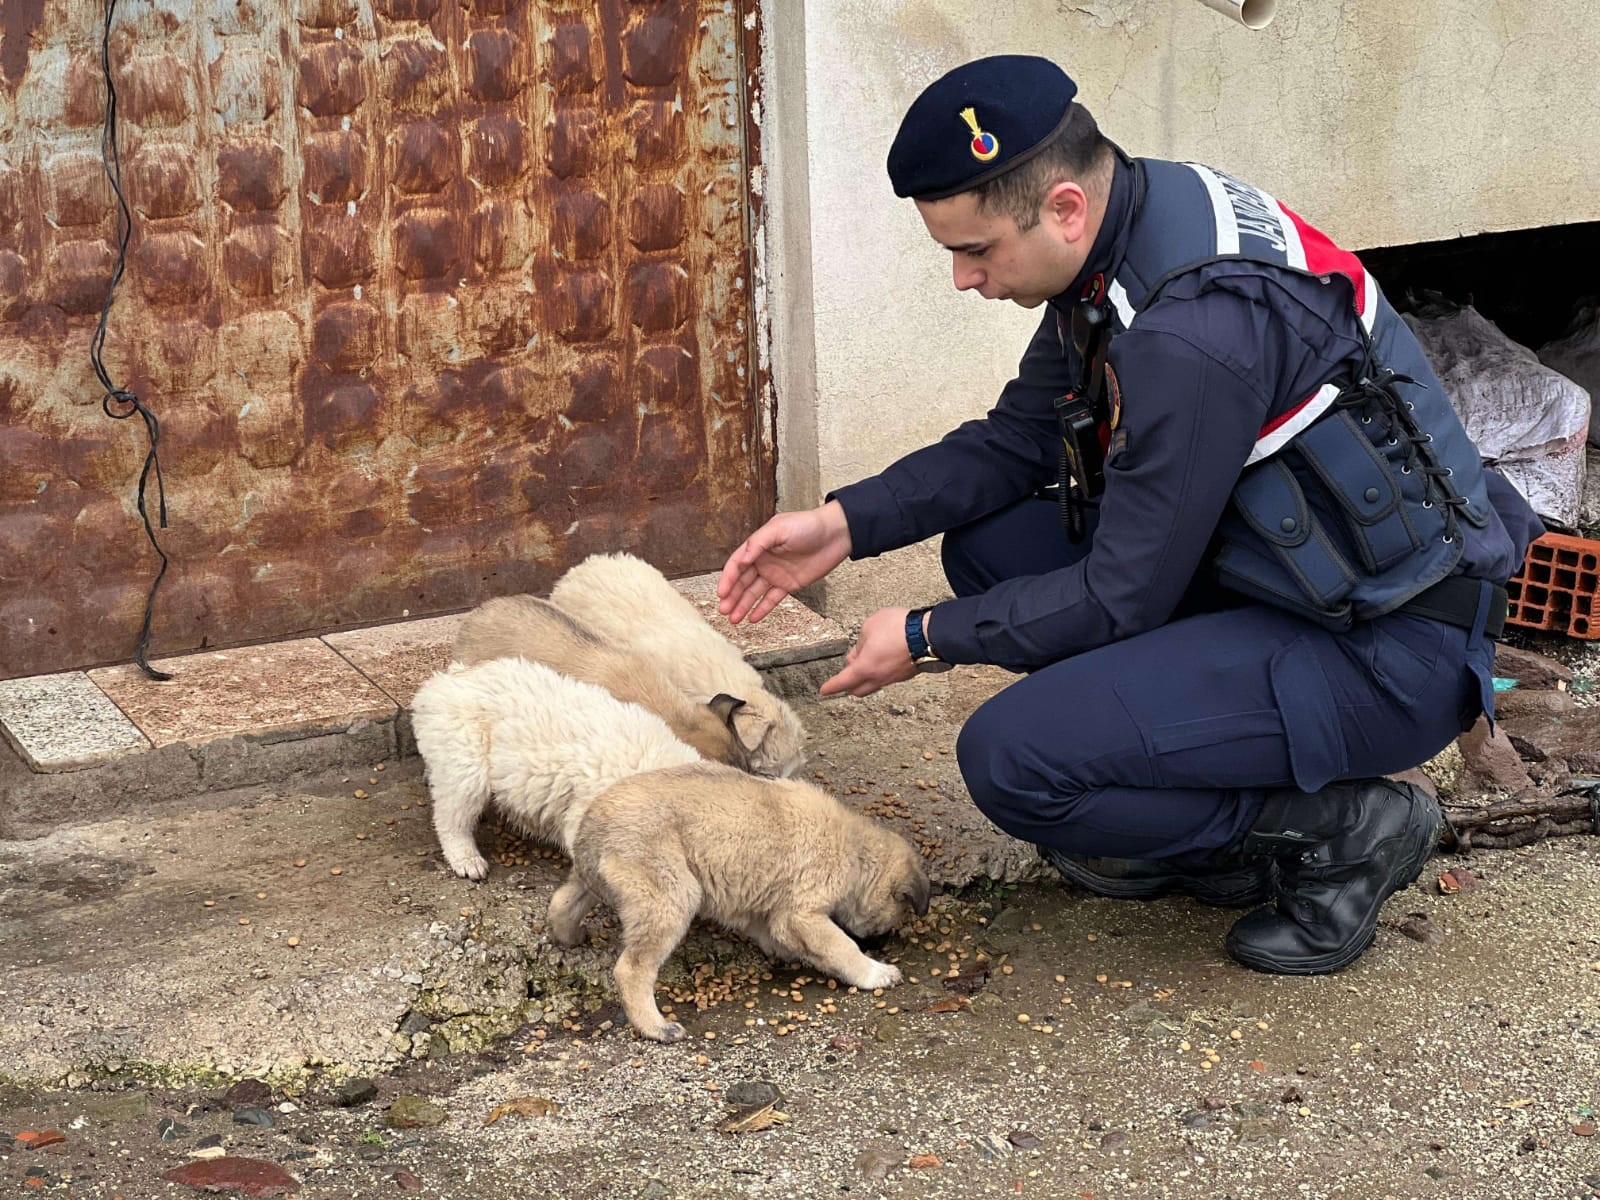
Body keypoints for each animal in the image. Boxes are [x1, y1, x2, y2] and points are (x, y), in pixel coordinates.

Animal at [547, 771, 934, 1043]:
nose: (881, 945)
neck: (856, 849)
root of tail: (592, 827)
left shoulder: (767, 910)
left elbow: (778, 934)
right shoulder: (802, 913)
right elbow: (842, 946)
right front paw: (875, 972)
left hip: (593, 881)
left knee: (561, 903)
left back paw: (569, 936)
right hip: (671, 894)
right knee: (632, 969)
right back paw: (655, 1027)